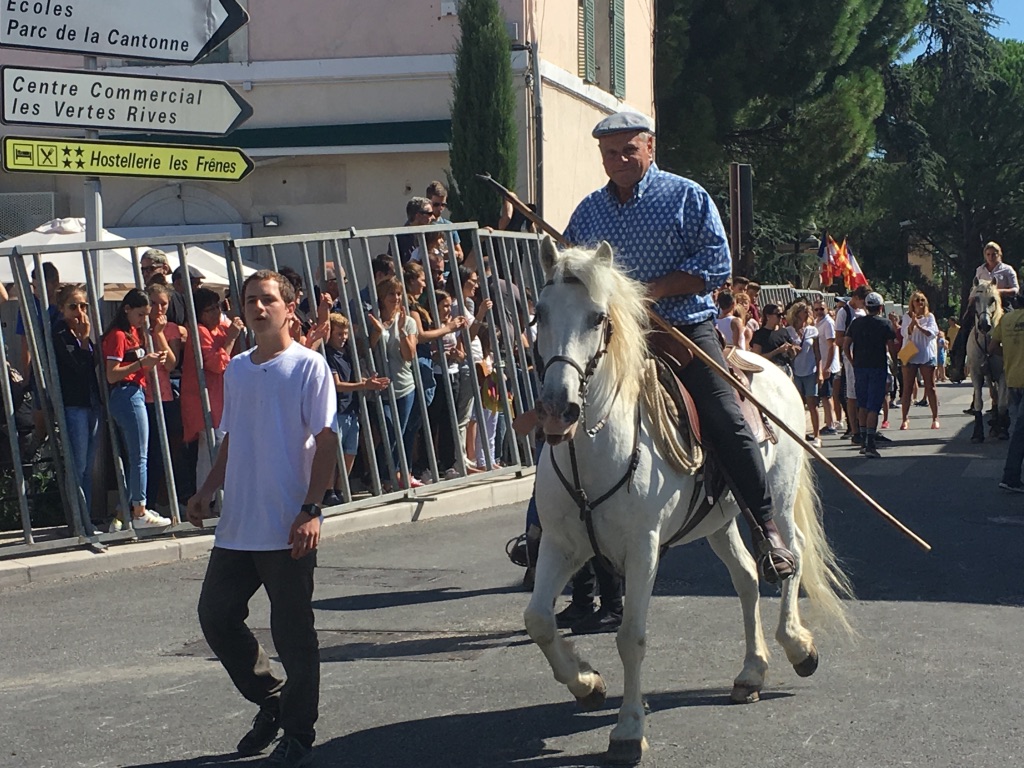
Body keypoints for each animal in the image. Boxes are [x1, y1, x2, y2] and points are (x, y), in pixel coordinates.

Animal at [524, 239, 851, 765]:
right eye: (541, 312)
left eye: (597, 318)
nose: (558, 409)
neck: (595, 450)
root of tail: (770, 365)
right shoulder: (562, 544)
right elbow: (537, 620)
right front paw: (586, 683)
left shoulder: (643, 549)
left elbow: (631, 636)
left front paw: (628, 730)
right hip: (719, 520)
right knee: (745, 578)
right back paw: (751, 673)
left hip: (777, 497)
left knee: (791, 555)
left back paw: (798, 647)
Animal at [962, 280, 1011, 438]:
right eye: (976, 299)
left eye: (992, 300)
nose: (984, 325)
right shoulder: (976, 373)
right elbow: (979, 402)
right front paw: (978, 433)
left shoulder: (1003, 373)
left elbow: (1002, 403)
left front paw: (1003, 429)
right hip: (989, 376)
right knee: (993, 393)